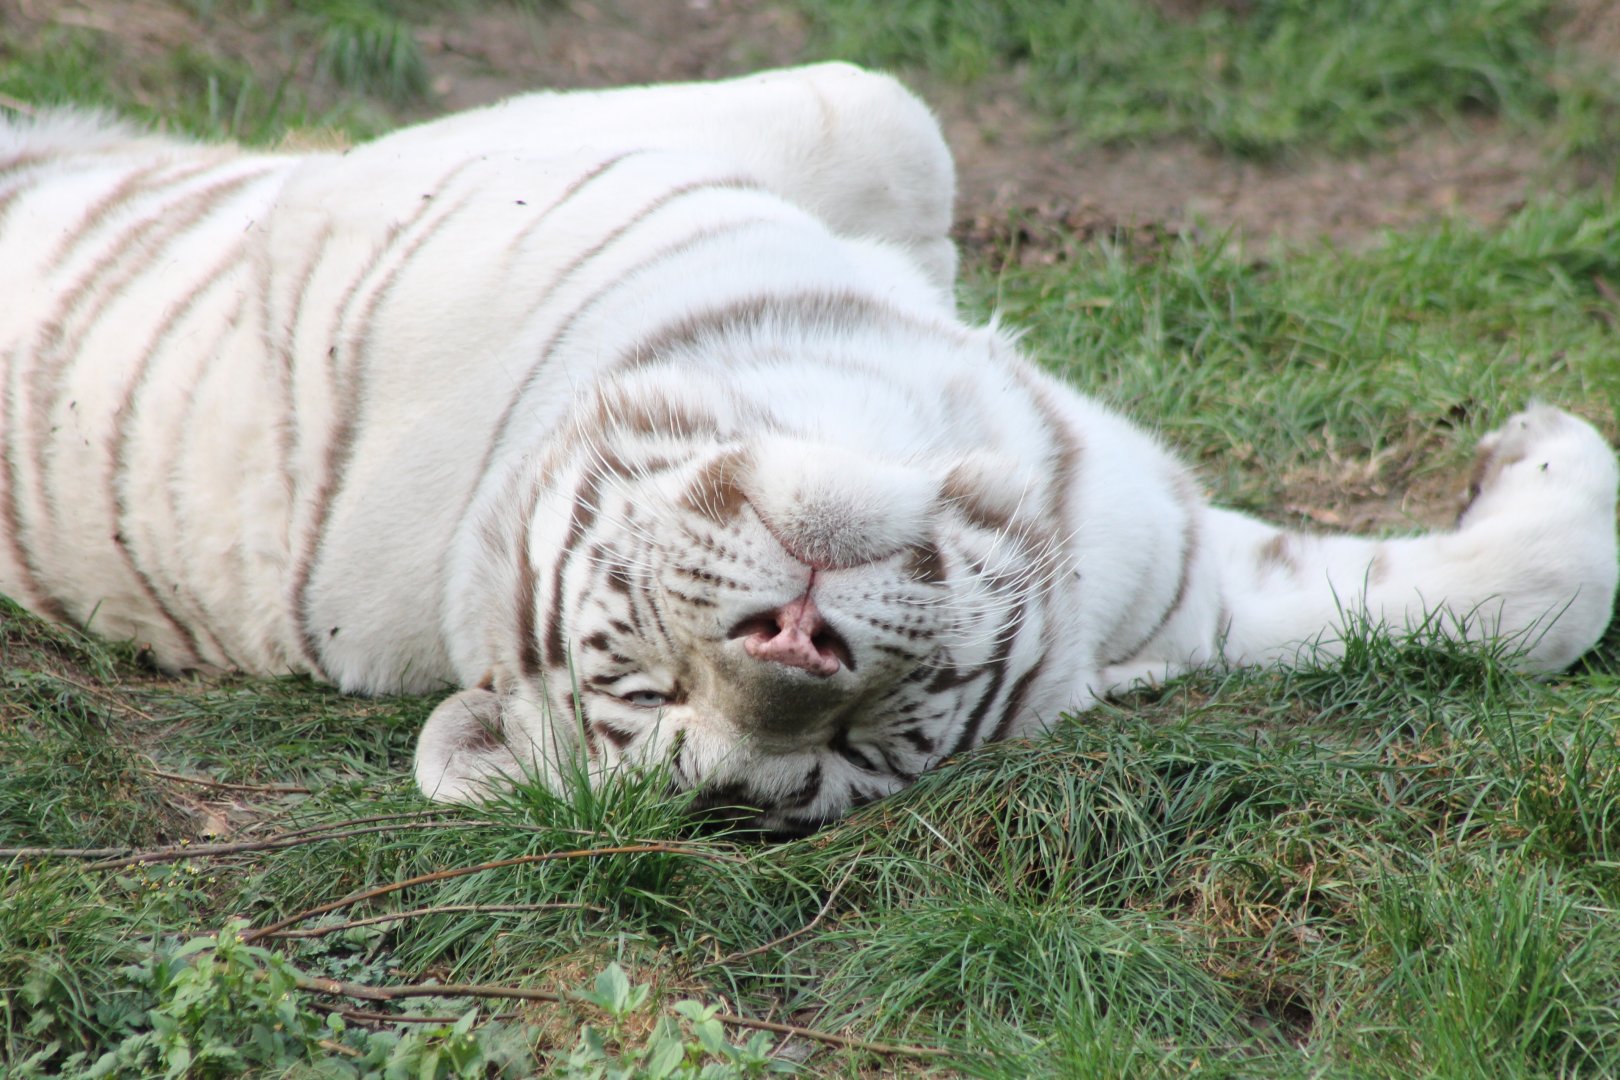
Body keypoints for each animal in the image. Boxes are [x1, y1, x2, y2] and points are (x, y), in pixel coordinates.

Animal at [2, 63, 1616, 833]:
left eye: (867, 739)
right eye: (652, 691)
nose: (796, 646)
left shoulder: (1155, 558)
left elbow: (1517, 598)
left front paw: (1532, 445)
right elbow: (885, 116)